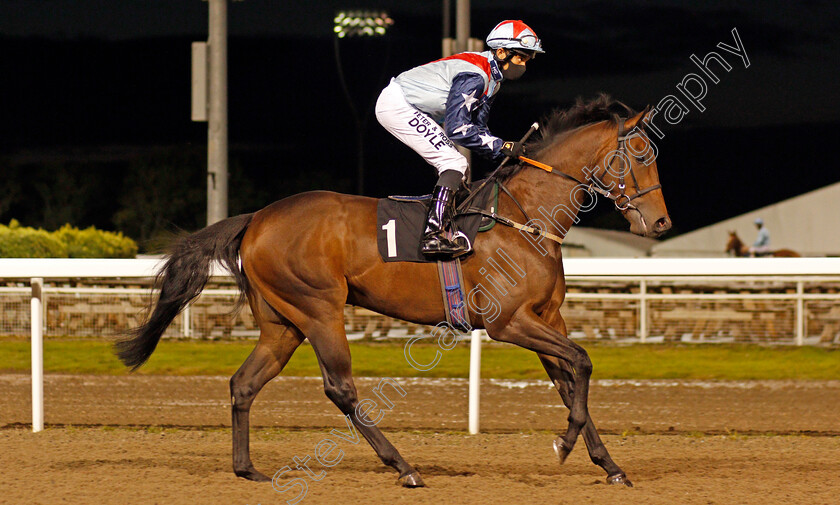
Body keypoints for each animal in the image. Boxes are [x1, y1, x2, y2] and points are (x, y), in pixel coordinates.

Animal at [116, 95, 668, 488]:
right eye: (640, 155)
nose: (660, 223)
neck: (525, 217)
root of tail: (257, 218)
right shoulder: (508, 323)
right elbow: (582, 364)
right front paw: (565, 445)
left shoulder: (547, 319)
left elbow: (571, 379)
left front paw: (608, 464)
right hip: (318, 309)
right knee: (339, 388)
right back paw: (403, 466)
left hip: (282, 321)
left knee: (244, 384)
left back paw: (247, 469)